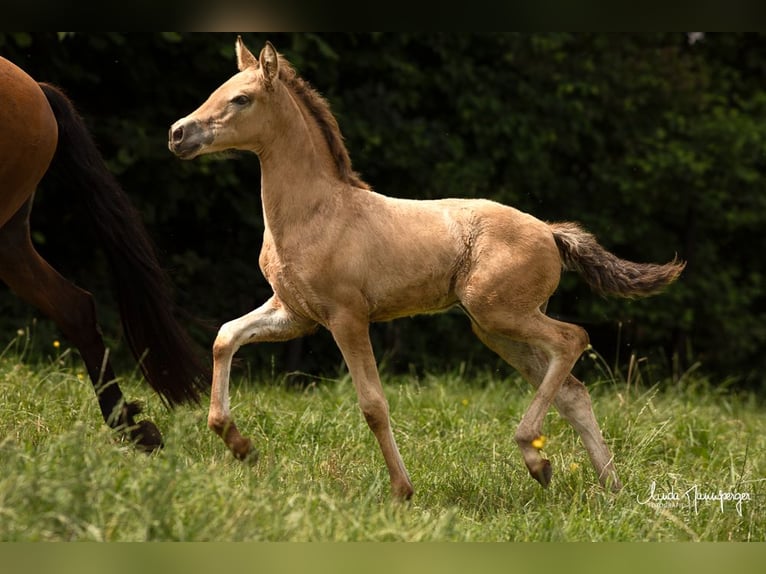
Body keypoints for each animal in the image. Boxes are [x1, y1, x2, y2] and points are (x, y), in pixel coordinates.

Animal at [171, 38, 688, 502]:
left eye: (241, 98)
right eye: (218, 89)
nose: (178, 133)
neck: (316, 213)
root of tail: (549, 231)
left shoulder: (346, 317)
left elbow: (373, 404)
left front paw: (402, 491)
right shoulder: (294, 314)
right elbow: (225, 337)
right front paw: (239, 444)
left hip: (500, 313)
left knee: (573, 339)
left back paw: (538, 460)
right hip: (494, 328)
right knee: (574, 391)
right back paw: (610, 492)